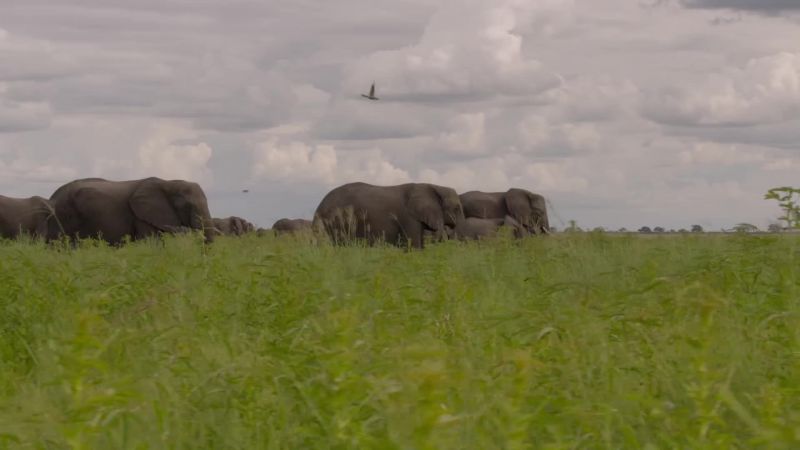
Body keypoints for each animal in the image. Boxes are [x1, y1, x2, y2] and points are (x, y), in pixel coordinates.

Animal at [313, 182, 465, 249]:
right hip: (338, 221)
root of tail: (319, 206)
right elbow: (414, 246)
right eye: (457, 208)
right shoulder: (409, 217)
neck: (435, 186)